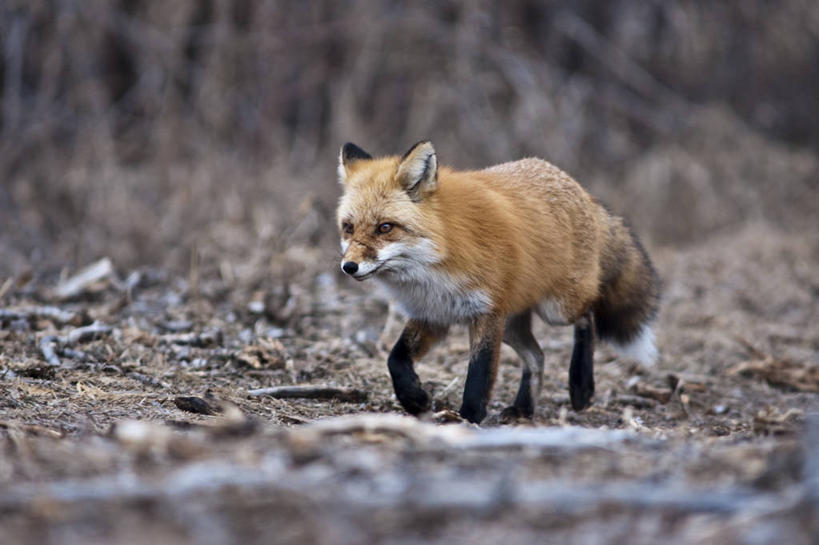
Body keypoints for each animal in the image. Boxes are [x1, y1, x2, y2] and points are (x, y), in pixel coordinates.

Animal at [334, 141, 660, 424]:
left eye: (385, 228)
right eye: (348, 228)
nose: (349, 267)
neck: (433, 264)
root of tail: (578, 187)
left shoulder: (487, 311)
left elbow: (479, 373)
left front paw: (468, 417)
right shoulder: (433, 314)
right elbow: (396, 359)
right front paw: (415, 399)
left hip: (556, 309)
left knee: (588, 315)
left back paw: (581, 386)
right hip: (513, 322)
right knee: (537, 357)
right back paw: (523, 409)